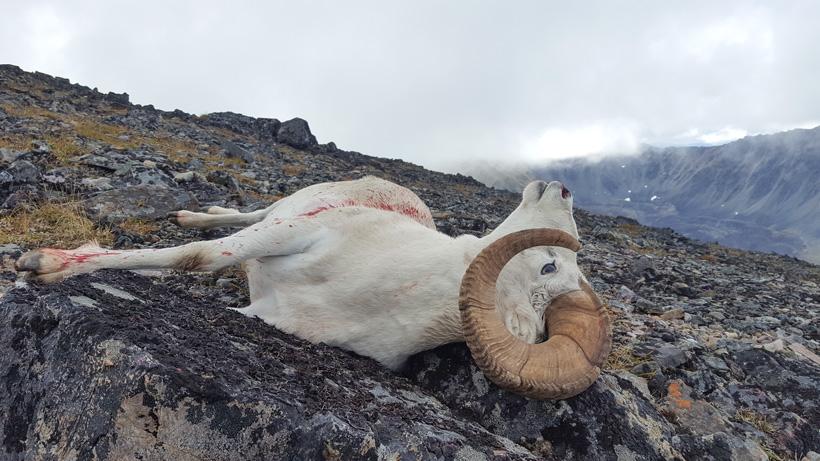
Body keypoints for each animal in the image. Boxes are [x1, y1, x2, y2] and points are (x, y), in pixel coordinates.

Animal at [15, 176, 611, 399]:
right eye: (552, 265)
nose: (562, 187)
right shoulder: (294, 232)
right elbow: (202, 254)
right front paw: (45, 263)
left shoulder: (262, 312)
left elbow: (192, 262)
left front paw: (46, 265)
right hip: (288, 211)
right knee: (241, 215)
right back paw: (190, 214)